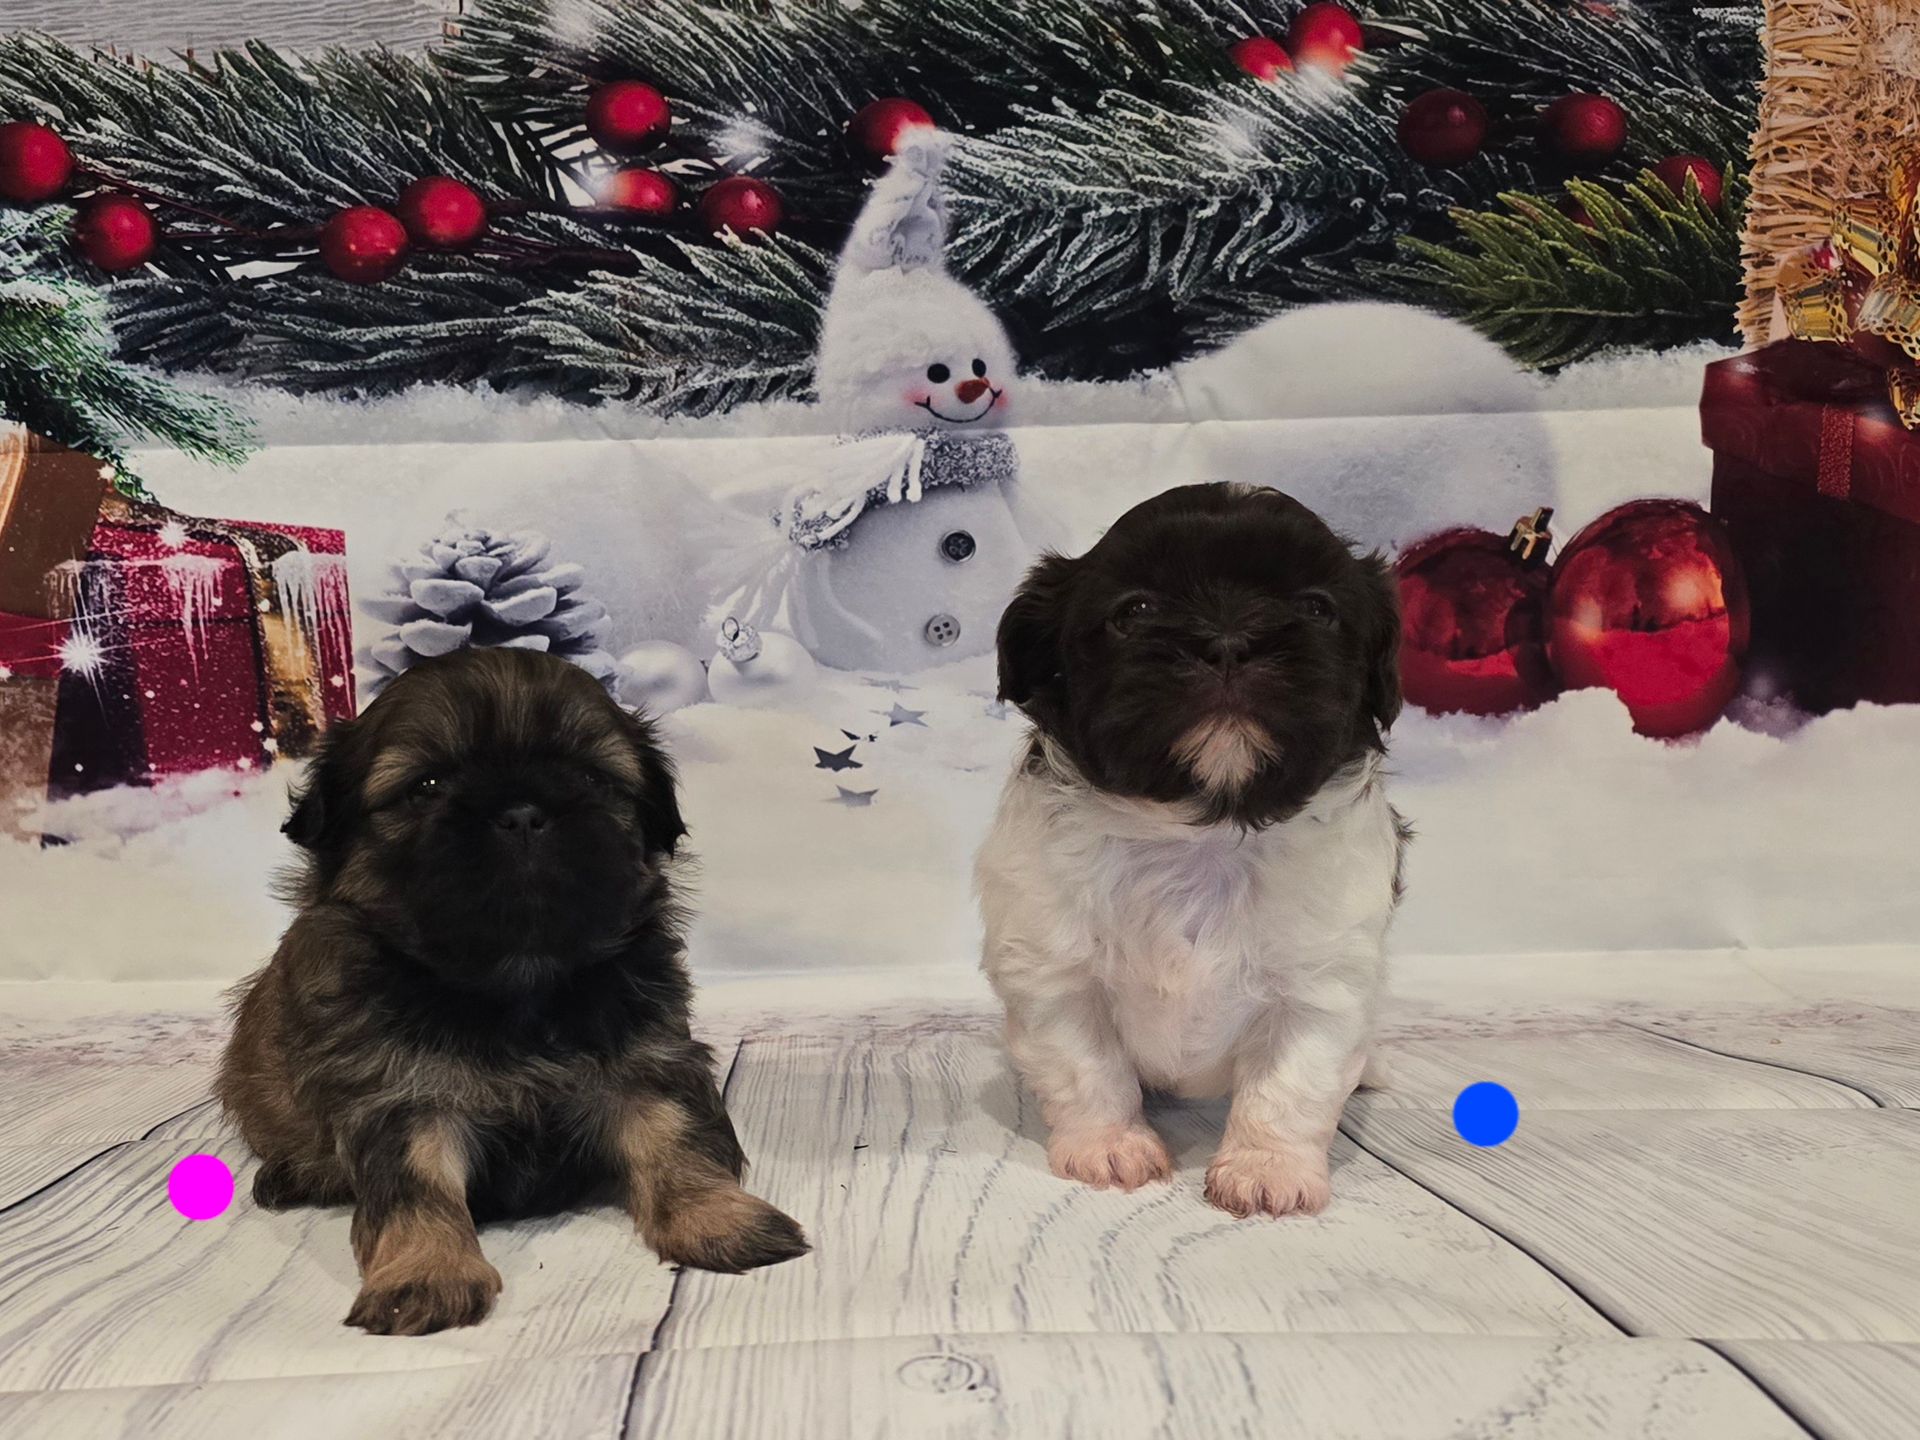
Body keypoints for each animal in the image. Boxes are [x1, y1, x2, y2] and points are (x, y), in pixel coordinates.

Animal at [217, 647, 807, 1336]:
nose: (523, 812)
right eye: (426, 787)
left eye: (591, 779)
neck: (517, 979)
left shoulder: (647, 1058)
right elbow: (417, 1185)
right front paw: (426, 1272)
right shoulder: (397, 1093)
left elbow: (673, 1136)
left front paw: (719, 1217)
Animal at [975, 482, 1407, 1218]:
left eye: (1316, 609)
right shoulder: (1057, 974)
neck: (1199, 835)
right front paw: (1110, 1145)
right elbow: (1087, 1066)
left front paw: (1266, 1168)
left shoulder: (1319, 986)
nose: (1228, 641)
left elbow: (1290, 1083)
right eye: (1136, 611)